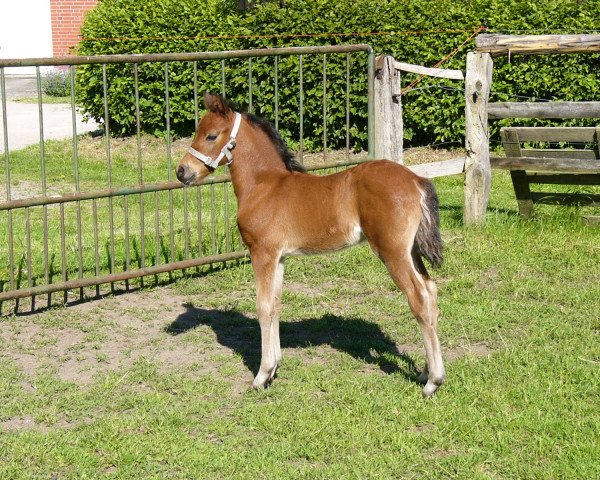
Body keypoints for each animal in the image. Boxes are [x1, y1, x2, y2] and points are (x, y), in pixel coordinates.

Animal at [176, 94, 442, 398]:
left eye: (211, 135)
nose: (182, 171)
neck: (264, 186)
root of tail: (416, 180)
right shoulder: (278, 257)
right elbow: (275, 305)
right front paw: (274, 369)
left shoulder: (262, 253)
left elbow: (263, 307)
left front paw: (261, 375)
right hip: (411, 251)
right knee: (431, 292)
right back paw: (424, 372)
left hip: (392, 252)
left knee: (419, 298)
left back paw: (433, 381)